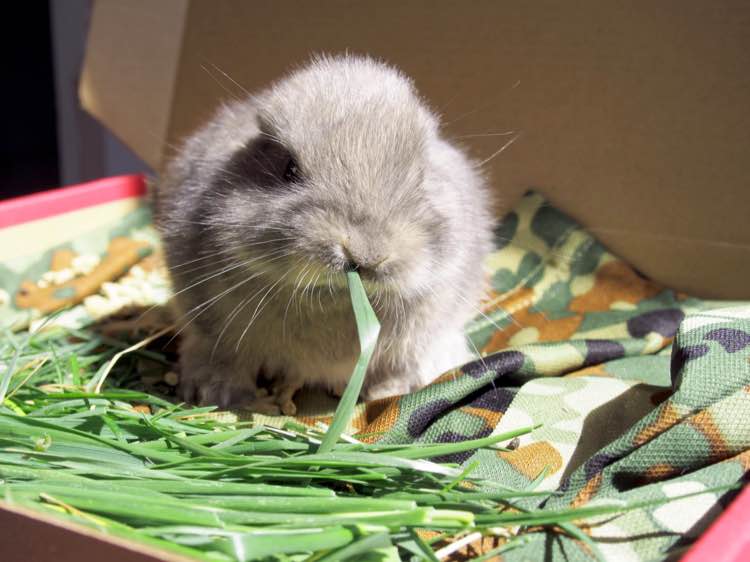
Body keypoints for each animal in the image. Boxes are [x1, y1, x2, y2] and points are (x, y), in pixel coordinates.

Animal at [155, 54, 495, 415]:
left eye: (420, 176)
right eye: (289, 169)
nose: (366, 255)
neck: (336, 300)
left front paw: (389, 391)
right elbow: (225, 355)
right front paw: (223, 396)